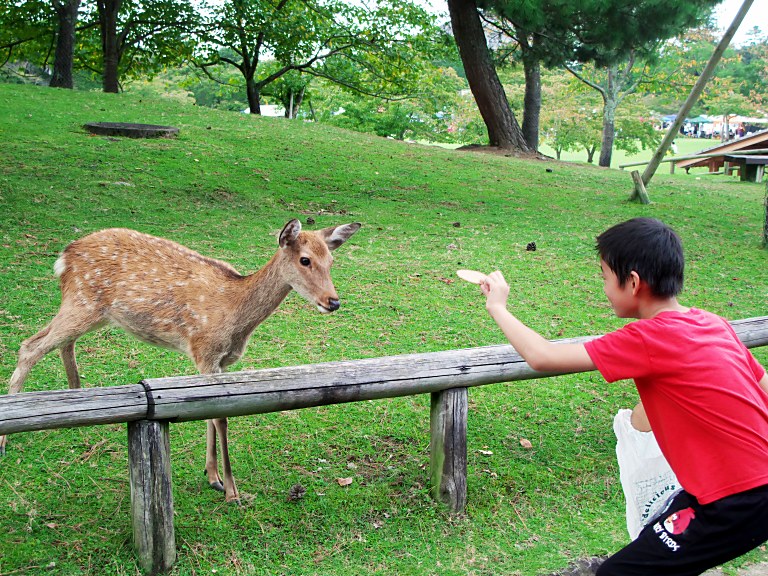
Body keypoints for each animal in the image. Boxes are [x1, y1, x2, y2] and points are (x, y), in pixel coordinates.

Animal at [1, 220, 362, 504]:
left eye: (331, 260)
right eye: (305, 260)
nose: (333, 301)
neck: (236, 316)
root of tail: (64, 257)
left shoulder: (219, 362)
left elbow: (210, 414)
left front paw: (213, 477)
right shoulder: (204, 350)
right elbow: (221, 419)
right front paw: (232, 491)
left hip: (89, 310)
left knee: (59, 342)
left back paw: (77, 396)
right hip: (82, 301)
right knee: (29, 346)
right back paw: (7, 437)